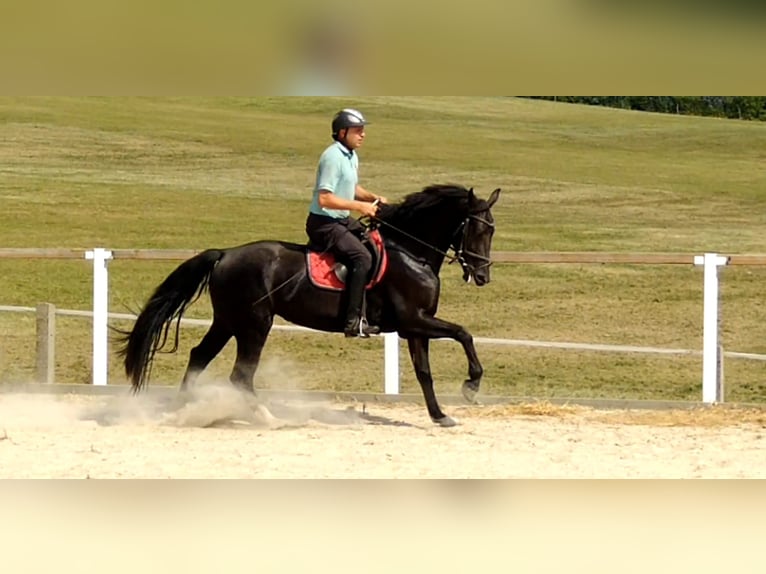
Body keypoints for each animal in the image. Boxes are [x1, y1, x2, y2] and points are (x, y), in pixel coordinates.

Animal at [121, 184, 504, 428]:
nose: (483, 275)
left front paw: (440, 416)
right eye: (477, 230)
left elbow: (425, 372)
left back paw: (181, 411)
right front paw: (471, 386)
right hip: (254, 324)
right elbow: (464, 334)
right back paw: (268, 419)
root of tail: (226, 254)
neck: (411, 253)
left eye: (493, 230)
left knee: (199, 356)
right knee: (241, 374)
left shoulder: (415, 327)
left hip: (228, 321)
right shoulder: (415, 321)